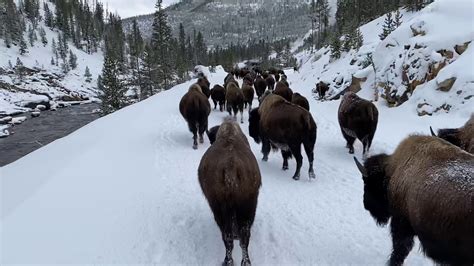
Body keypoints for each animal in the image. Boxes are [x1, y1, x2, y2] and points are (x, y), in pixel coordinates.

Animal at [197, 119, 262, 266]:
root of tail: (230, 167)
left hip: (220, 209)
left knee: (228, 237)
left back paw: (227, 261)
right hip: (247, 206)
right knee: (242, 238)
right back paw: (244, 262)